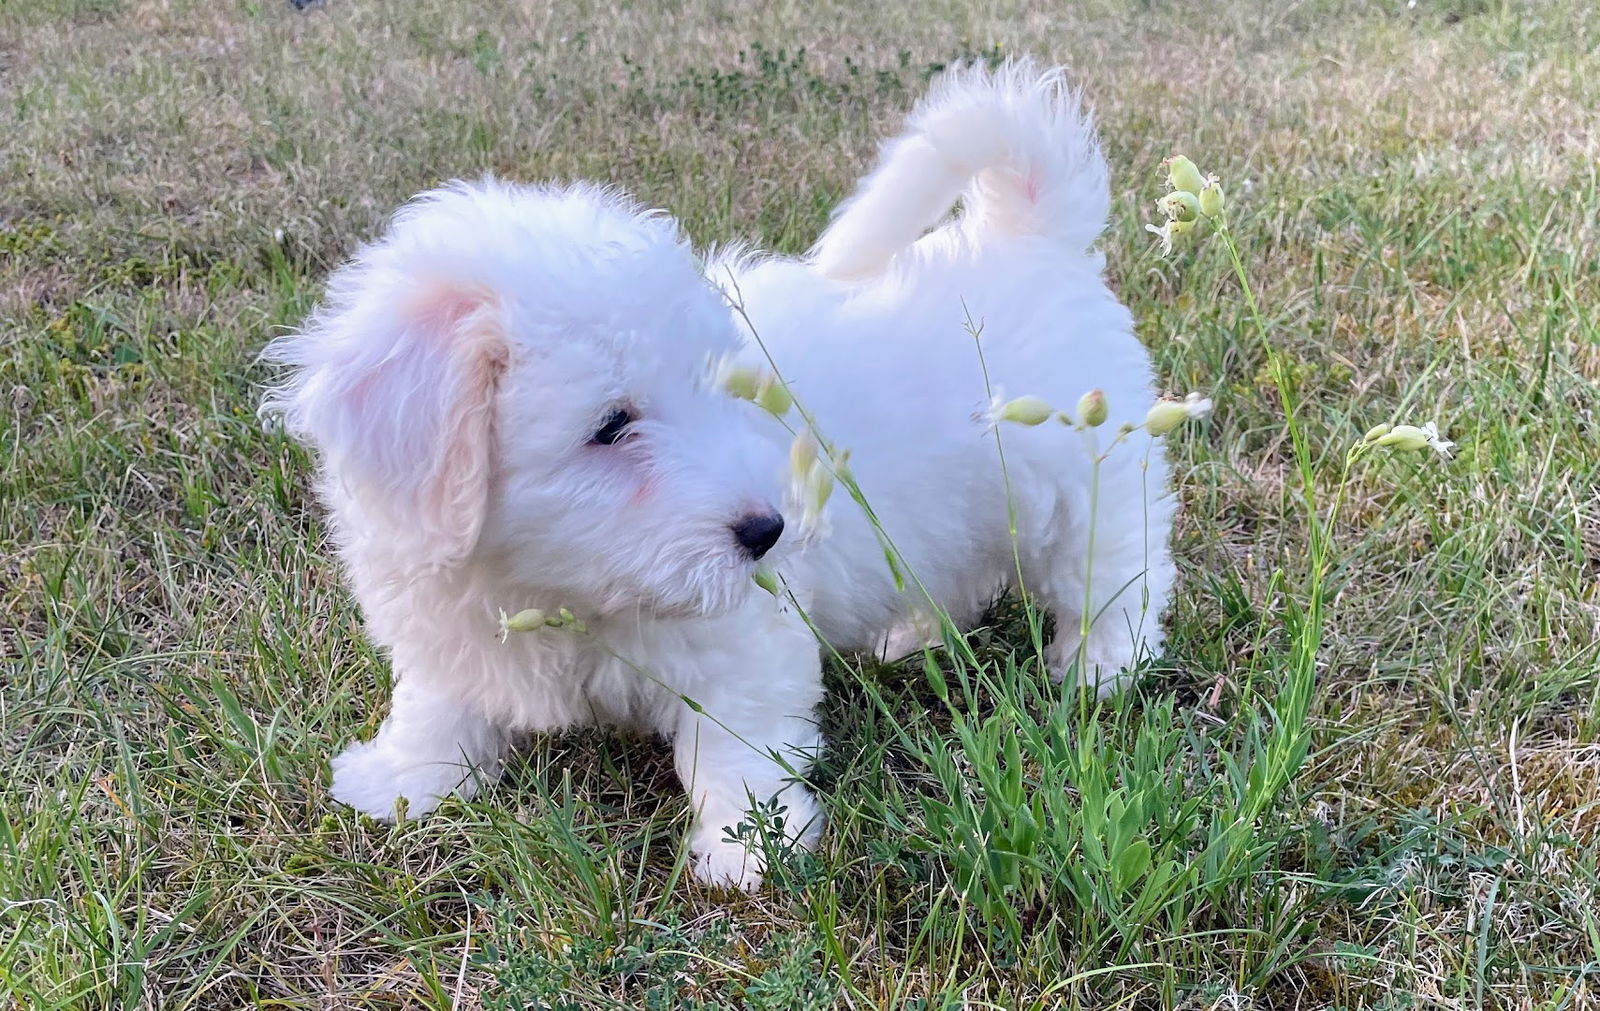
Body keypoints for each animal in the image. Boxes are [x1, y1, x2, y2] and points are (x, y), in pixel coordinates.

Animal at [262, 59, 1177, 889]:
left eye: (713, 391)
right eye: (611, 425)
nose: (768, 531)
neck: (556, 593)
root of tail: (1028, 232)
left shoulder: (739, 646)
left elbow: (737, 750)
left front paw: (751, 849)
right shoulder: (444, 621)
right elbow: (437, 699)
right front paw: (404, 778)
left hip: (1085, 491)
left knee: (1116, 577)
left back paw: (1100, 667)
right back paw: (912, 635)